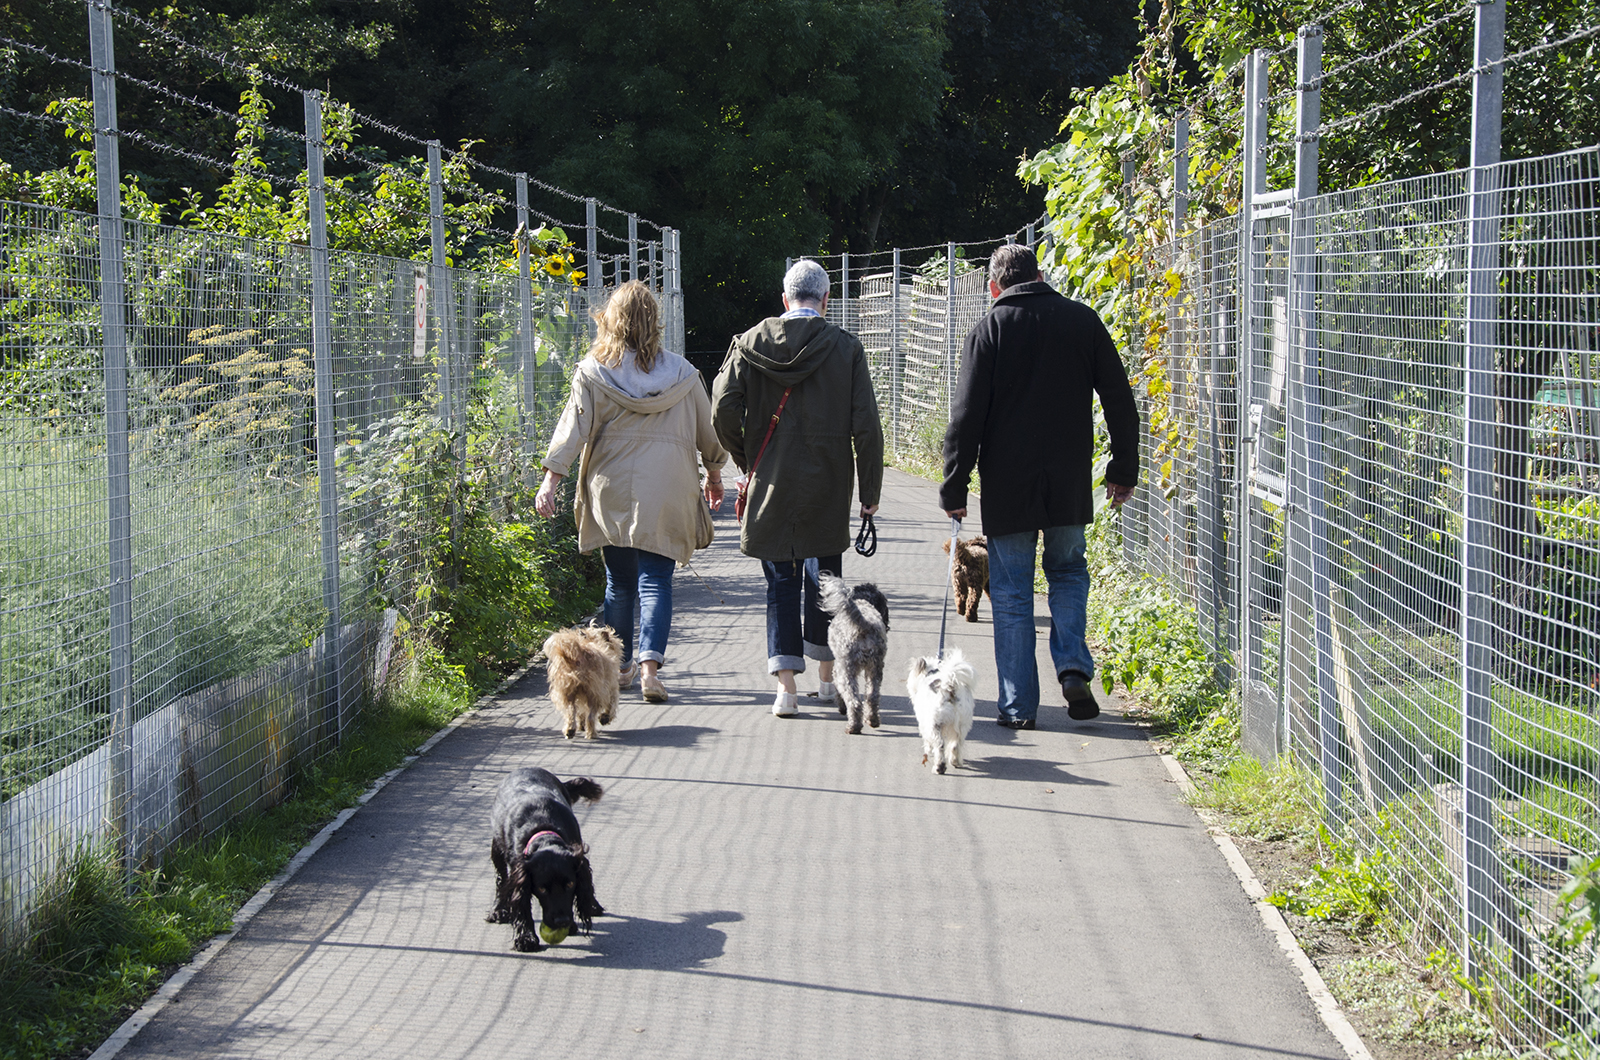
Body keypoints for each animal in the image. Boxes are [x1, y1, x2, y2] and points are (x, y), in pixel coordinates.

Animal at [819, 573, 896, 739]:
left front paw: (841, 707)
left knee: (854, 701)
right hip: (875, 669)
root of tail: (864, 625)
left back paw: (853, 726)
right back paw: (873, 720)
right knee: (872, 696)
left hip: (846, 671)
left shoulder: (837, 669)